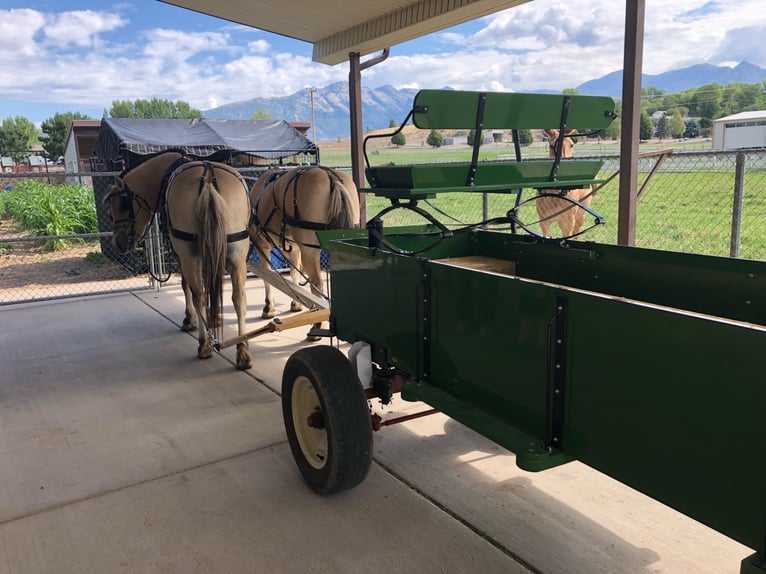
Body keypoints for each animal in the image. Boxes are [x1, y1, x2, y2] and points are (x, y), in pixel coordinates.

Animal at [105, 151, 254, 372]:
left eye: (121, 206)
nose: (118, 243)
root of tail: (207, 178)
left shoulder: (180, 254)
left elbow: (186, 287)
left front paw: (190, 320)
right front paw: (214, 319)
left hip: (189, 254)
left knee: (199, 295)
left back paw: (205, 345)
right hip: (236, 253)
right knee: (239, 298)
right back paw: (242, 351)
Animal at [249, 164, 364, 340]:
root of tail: (331, 176)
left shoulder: (261, 245)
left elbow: (266, 275)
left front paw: (268, 308)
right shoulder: (295, 249)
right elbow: (294, 274)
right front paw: (296, 304)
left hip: (309, 250)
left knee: (316, 282)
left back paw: (317, 326)